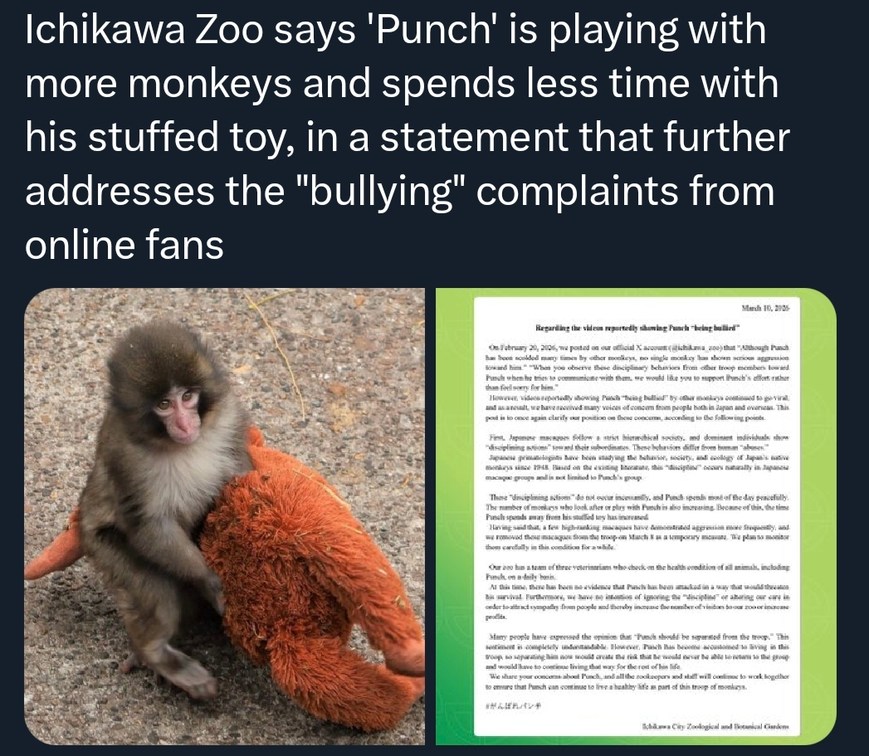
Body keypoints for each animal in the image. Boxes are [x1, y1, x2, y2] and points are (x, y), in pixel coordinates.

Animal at [77, 320, 252, 700]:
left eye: (187, 397)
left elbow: (242, 474)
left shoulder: (229, 417)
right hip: (102, 547)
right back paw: (157, 655)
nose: (186, 425)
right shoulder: (125, 456)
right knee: (156, 594)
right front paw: (209, 581)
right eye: (163, 404)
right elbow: (148, 526)